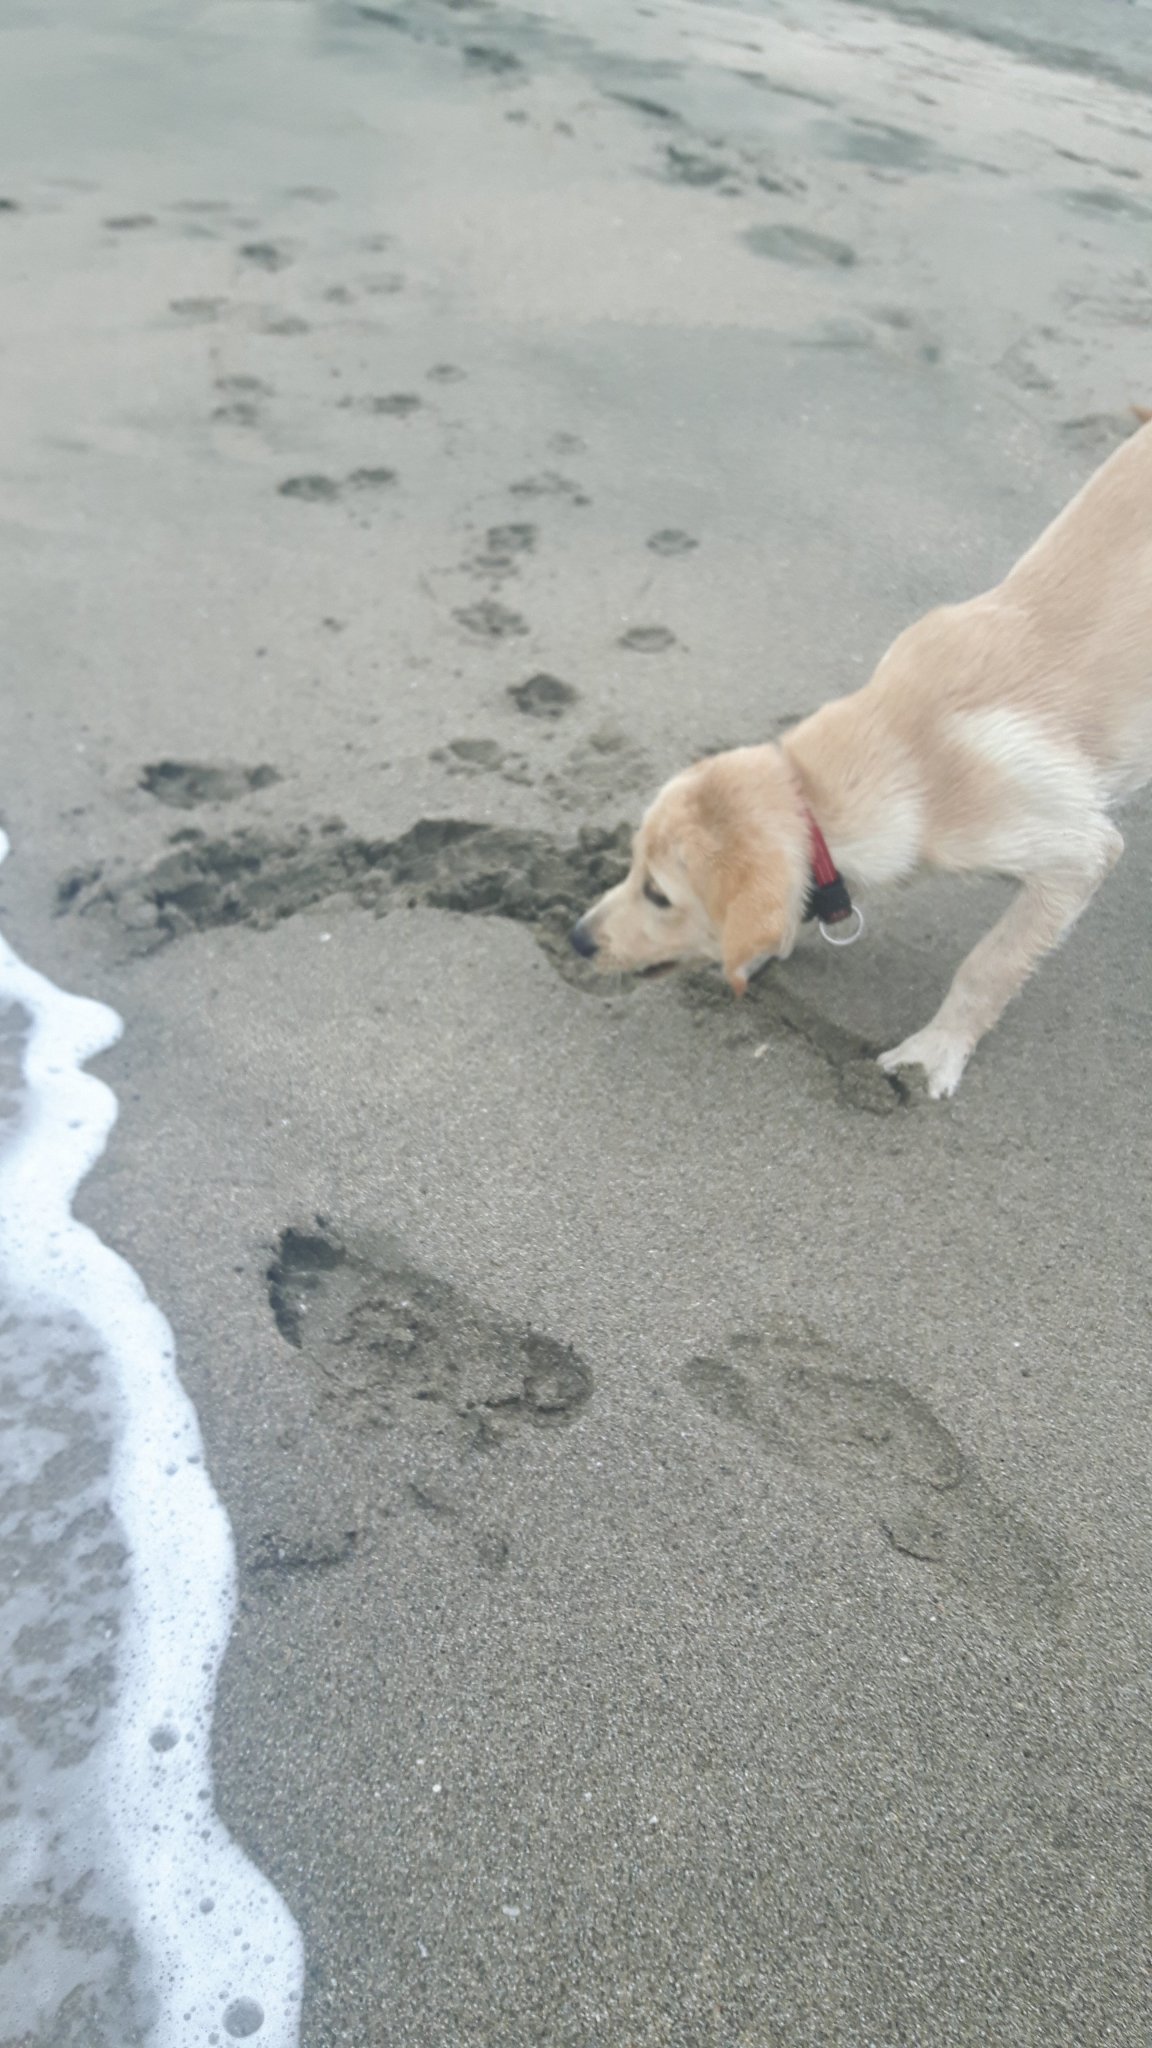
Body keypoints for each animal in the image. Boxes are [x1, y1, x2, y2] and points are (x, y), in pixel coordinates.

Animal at [572, 416, 1152, 1096]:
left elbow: (991, 962)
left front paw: (937, 1048)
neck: (902, 751)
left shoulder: (1074, 852)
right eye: (631, 863)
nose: (578, 939)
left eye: (659, 896)